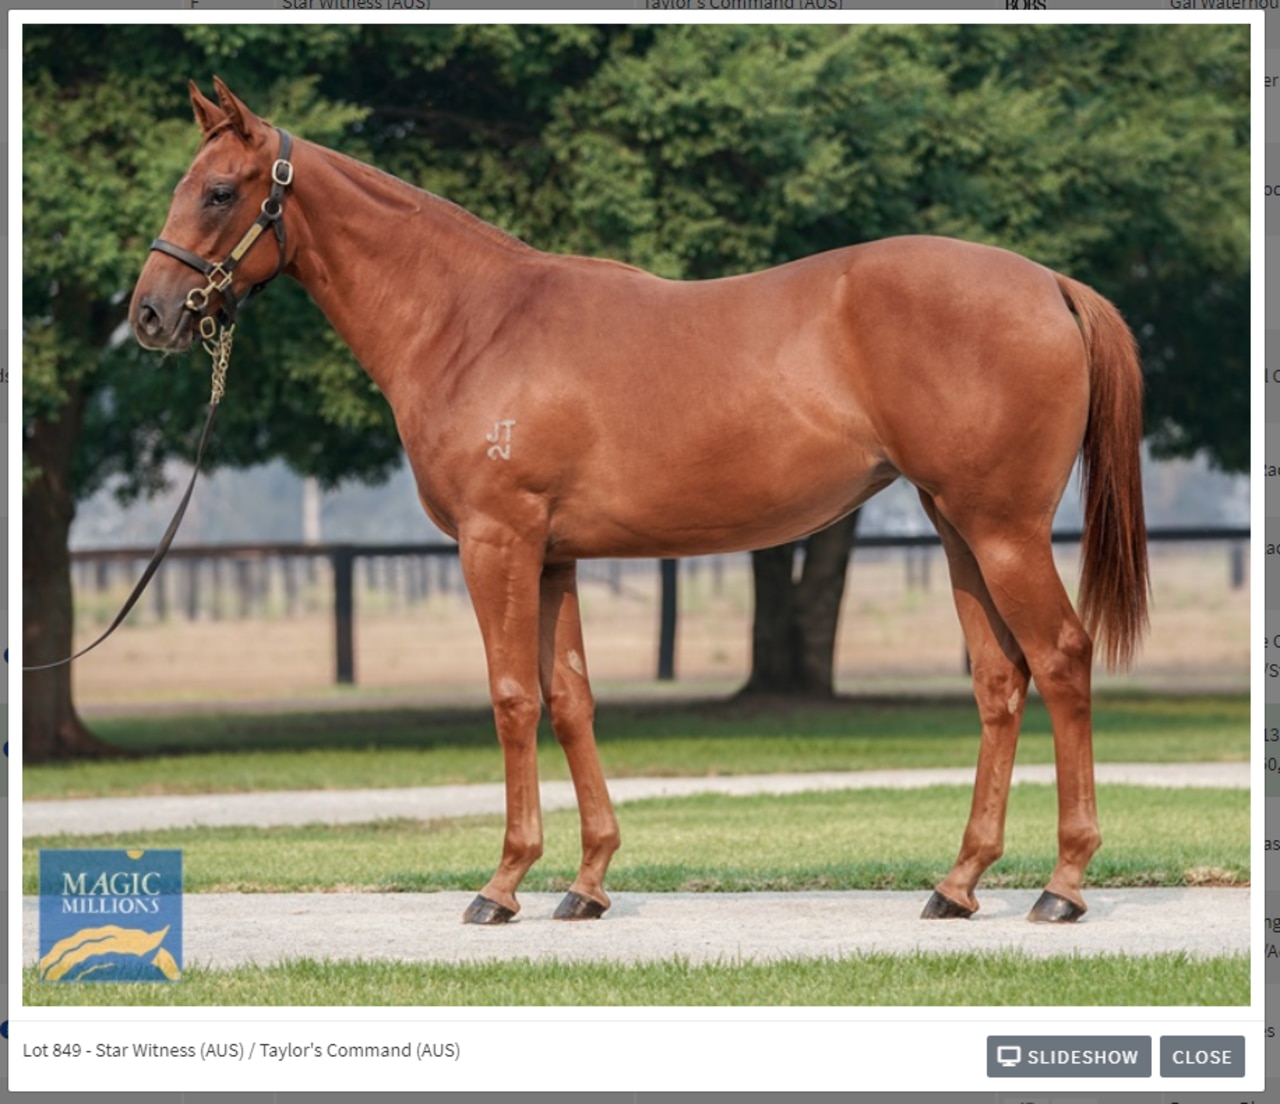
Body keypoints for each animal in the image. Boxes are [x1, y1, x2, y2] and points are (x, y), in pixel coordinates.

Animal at [132, 80, 1152, 927]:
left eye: (219, 191)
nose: (149, 314)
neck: (473, 321)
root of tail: (1049, 284)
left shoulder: (496, 541)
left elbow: (511, 697)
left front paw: (502, 884)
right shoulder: (553, 555)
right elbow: (570, 698)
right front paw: (585, 883)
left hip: (1002, 530)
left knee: (1061, 660)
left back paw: (1063, 885)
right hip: (956, 530)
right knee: (1000, 680)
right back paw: (960, 882)